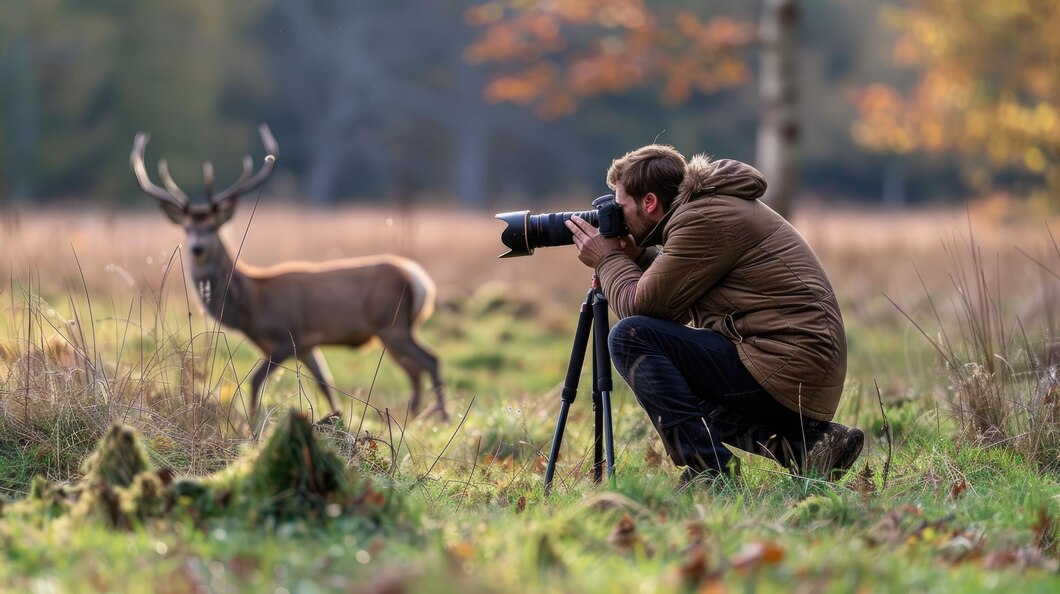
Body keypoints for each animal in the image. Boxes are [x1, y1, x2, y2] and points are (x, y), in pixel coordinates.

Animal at [131, 124, 447, 426]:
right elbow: (325, 382)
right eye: (187, 227)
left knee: (431, 359)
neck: (252, 305)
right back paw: (413, 414)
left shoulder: (286, 335)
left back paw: (441, 415)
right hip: (391, 331)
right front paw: (334, 419)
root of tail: (420, 280)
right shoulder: (305, 345)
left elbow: (256, 380)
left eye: (212, 227)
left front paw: (252, 425)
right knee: (414, 369)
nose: (197, 248)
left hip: (393, 325)